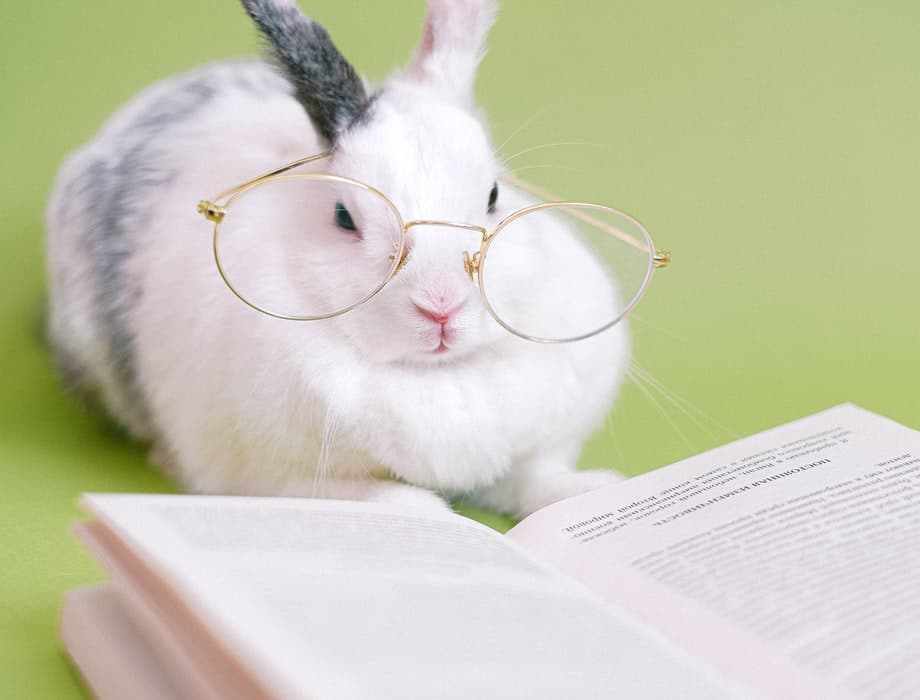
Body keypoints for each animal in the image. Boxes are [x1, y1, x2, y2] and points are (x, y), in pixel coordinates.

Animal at [45, 0, 630, 518]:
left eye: (493, 196)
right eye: (344, 217)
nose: (441, 306)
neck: (433, 376)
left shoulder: (528, 453)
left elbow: (533, 480)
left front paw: (594, 489)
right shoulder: (271, 475)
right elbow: (362, 496)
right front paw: (425, 511)